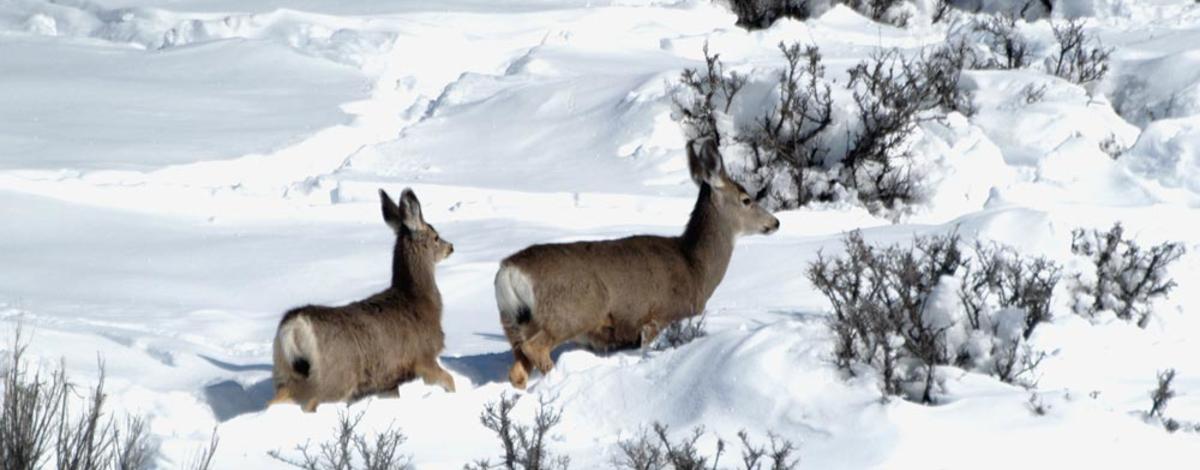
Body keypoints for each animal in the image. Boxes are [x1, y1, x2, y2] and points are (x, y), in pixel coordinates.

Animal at [271, 187, 453, 412]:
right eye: (436, 236)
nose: (451, 247)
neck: (418, 299)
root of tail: (295, 324)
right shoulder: (423, 357)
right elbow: (450, 380)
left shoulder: (388, 379)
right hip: (333, 379)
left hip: (285, 373)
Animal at [494, 137, 782, 388]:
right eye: (746, 200)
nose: (775, 222)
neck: (695, 267)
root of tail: (509, 271)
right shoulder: (660, 316)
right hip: (571, 312)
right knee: (535, 348)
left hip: (512, 323)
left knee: (517, 370)